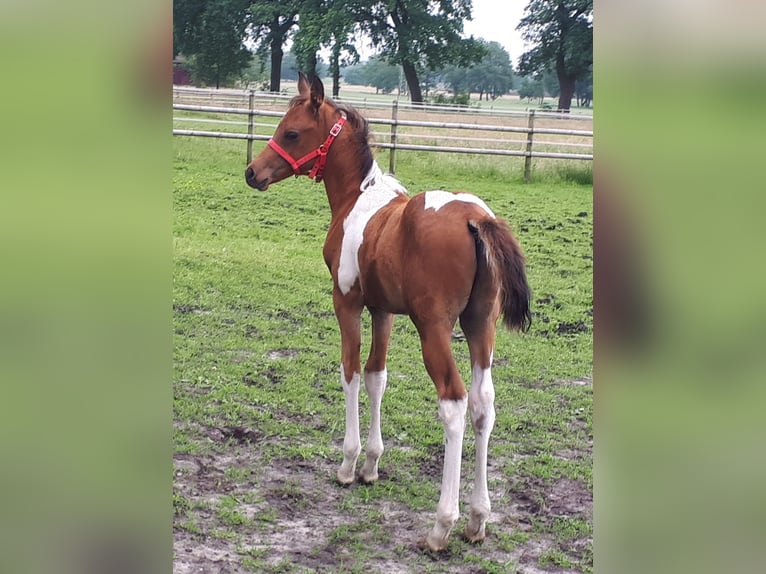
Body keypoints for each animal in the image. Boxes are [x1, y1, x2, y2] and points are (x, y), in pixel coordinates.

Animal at [246, 73, 536, 552]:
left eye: (291, 132)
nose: (253, 173)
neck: (356, 199)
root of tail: (475, 218)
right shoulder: (383, 311)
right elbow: (377, 375)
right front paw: (371, 464)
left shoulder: (346, 301)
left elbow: (350, 370)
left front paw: (348, 465)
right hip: (481, 327)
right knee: (483, 404)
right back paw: (478, 519)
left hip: (434, 329)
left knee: (454, 404)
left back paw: (442, 525)